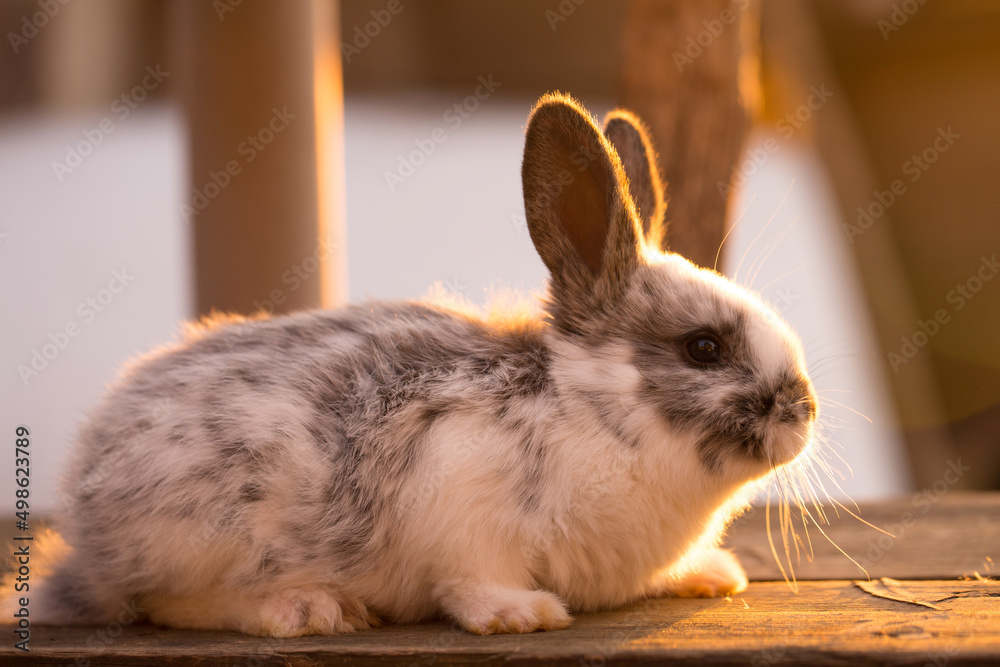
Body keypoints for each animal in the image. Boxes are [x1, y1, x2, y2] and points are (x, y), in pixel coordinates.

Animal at [22, 92, 817, 637]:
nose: (803, 408)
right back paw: (306, 608)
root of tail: (86, 504)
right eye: (703, 348)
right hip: (201, 540)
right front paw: (522, 614)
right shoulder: (462, 508)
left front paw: (713, 575)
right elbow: (472, 581)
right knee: (167, 600)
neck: (591, 416)